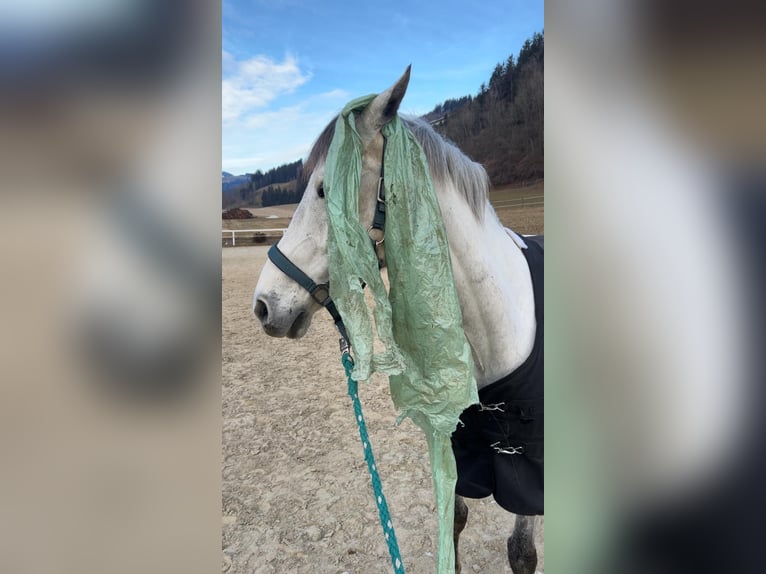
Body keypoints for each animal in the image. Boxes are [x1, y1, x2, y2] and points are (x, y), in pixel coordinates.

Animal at [253, 67, 542, 574]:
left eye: (325, 190)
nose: (264, 304)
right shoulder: (453, 440)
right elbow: (453, 521)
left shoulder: (528, 466)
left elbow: (521, 552)